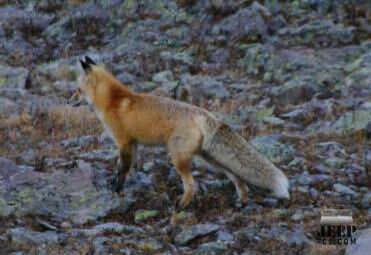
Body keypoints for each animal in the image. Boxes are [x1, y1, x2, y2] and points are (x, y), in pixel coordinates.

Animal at [70, 57, 290, 209]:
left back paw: (180, 207)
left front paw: (116, 190)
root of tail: (204, 114)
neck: (113, 100)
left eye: (78, 90)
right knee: (236, 175)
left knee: (192, 185)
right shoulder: (134, 144)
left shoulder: (123, 142)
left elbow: (122, 169)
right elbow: (128, 167)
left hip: (178, 157)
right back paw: (242, 201)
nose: (69, 101)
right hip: (210, 158)